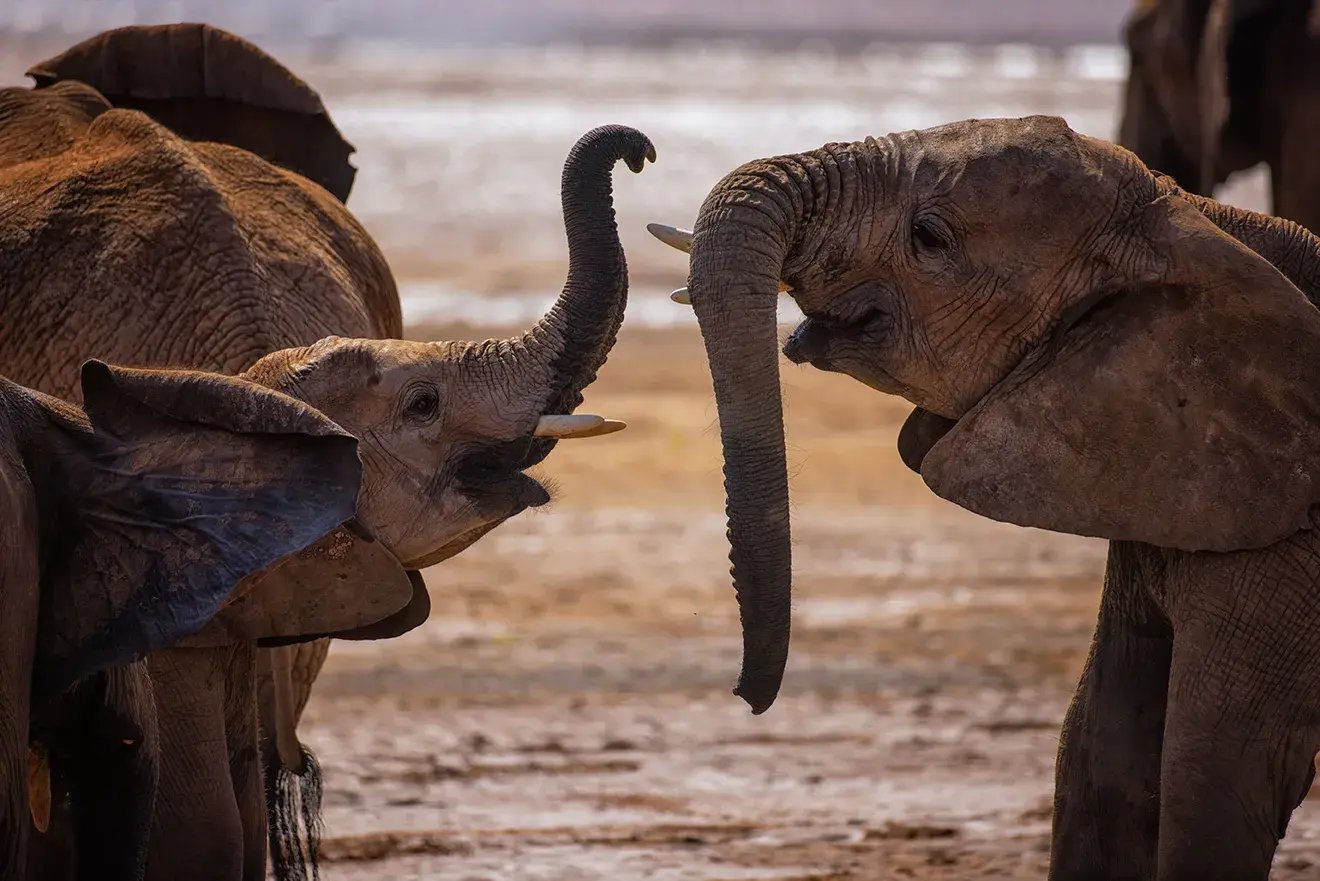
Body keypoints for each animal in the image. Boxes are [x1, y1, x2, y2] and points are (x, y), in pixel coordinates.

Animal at [649, 113, 1320, 877]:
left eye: (930, 237)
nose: (744, 694)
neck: (1201, 225)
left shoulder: (1288, 552)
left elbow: (1212, 772)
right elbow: (1099, 750)